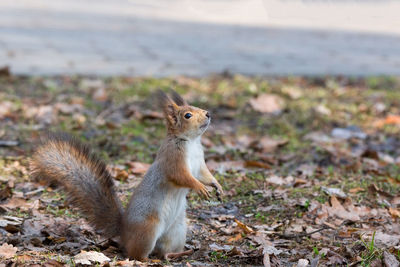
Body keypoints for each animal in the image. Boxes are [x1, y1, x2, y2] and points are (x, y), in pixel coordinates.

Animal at [30, 90, 225, 262]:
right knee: (137, 254)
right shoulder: (173, 160)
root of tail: (124, 230)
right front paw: (200, 188)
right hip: (148, 230)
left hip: (177, 232)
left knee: (164, 252)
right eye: (187, 115)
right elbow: (182, 177)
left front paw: (217, 186)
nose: (208, 114)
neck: (191, 142)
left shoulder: (199, 163)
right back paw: (148, 259)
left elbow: (205, 175)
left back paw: (179, 254)